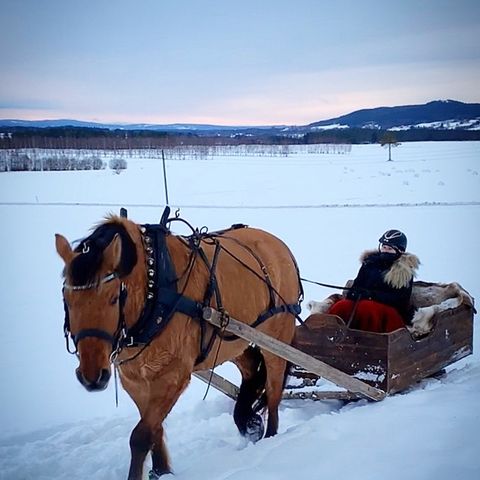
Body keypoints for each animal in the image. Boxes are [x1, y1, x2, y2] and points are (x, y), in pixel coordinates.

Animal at [56, 207, 302, 480]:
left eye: (112, 297)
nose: (92, 376)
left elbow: (140, 436)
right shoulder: (136, 379)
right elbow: (154, 429)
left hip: (276, 339)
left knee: (273, 389)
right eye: (67, 299)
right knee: (250, 372)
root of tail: (280, 245)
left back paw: (271, 437)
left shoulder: (173, 375)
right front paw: (161, 470)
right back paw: (248, 422)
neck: (154, 292)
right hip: (233, 340)